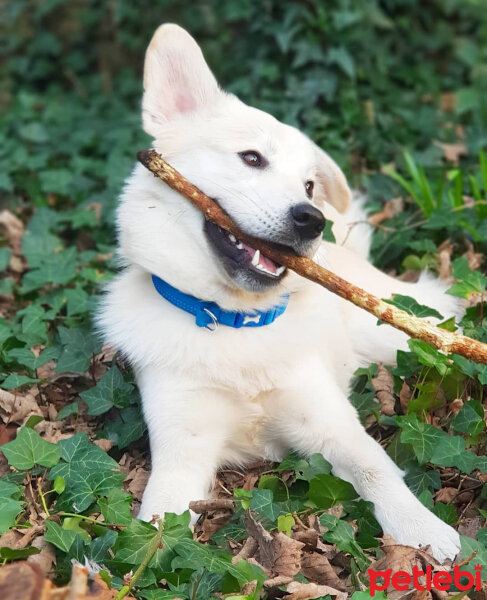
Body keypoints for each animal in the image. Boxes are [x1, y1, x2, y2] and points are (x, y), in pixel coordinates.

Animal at [97, 24, 464, 564]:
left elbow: (377, 471)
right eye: (251, 157)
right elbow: (158, 524)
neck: (237, 323)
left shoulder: (334, 428)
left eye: (309, 184)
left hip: (399, 337)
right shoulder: (181, 456)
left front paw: (425, 530)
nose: (311, 219)